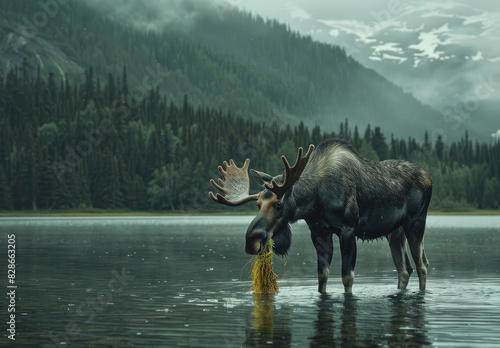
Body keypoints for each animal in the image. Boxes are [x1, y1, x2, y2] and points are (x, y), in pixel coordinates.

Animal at [209, 139, 432, 294]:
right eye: (257, 204)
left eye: (278, 204)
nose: (251, 240)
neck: (314, 201)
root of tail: (429, 177)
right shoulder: (319, 231)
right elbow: (322, 276)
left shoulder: (348, 230)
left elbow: (347, 277)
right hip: (395, 231)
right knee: (404, 268)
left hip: (416, 223)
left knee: (422, 265)